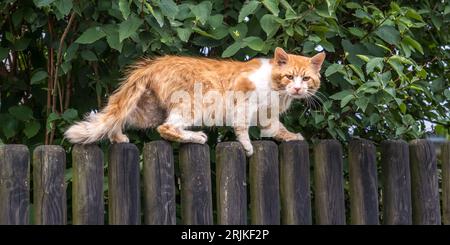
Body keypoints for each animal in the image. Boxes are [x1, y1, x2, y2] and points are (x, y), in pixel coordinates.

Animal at [65, 47, 326, 155]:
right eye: (289, 76)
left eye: (306, 78)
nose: (297, 88)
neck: (277, 91)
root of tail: (153, 64)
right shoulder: (243, 100)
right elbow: (242, 128)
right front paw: (247, 146)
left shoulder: (268, 116)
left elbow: (278, 129)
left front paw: (293, 136)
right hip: (191, 106)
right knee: (167, 128)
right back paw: (196, 137)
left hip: (147, 113)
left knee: (118, 120)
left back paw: (118, 137)